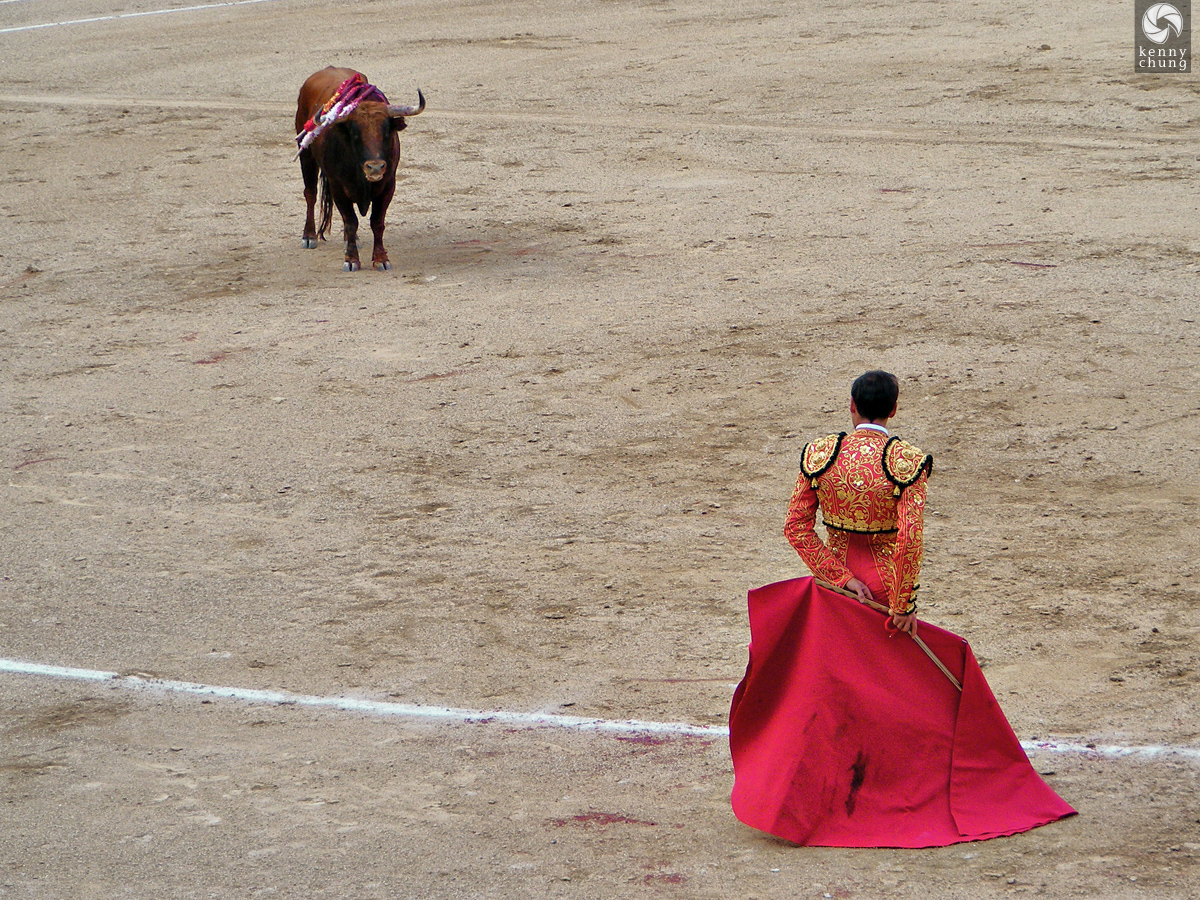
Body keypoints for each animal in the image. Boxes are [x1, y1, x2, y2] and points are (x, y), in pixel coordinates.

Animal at [295, 66, 427, 271]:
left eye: (386, 131)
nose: (375, 167)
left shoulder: (388, 185)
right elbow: (351, 222)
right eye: (355, 133)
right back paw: (309, 236)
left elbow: (377, 222)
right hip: (306, 155)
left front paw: (381, 258)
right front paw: (351, 260)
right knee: (310, 194)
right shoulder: (338, 187)